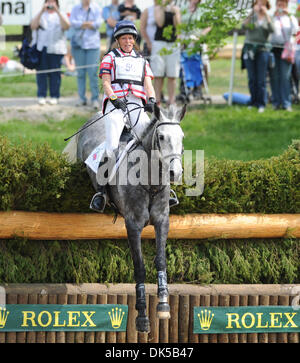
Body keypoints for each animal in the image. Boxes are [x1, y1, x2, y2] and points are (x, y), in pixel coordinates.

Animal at [68, 104, 186, 334]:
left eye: (182, 137)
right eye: (161, 136)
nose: (175, 172)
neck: (150, 184)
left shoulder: (162, 222)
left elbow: (161, 260)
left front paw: (163, 305)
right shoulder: (133, 225)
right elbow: (139, 267)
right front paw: (142, 317)